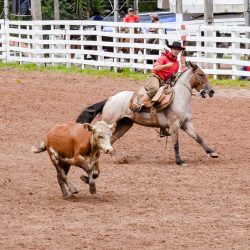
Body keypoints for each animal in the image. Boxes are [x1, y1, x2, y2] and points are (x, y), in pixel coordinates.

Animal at [76, 61, 219, 166]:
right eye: (201, 74)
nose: (211, 91)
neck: (179, 98)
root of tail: (111, 98)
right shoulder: (174, 125)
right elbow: (176, 144)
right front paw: (179, 161)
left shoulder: (186, 124)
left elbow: (198, 138)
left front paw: (212, 152)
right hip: (109, 122)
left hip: (125, 124)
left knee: (111, 140)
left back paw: (119, 160)